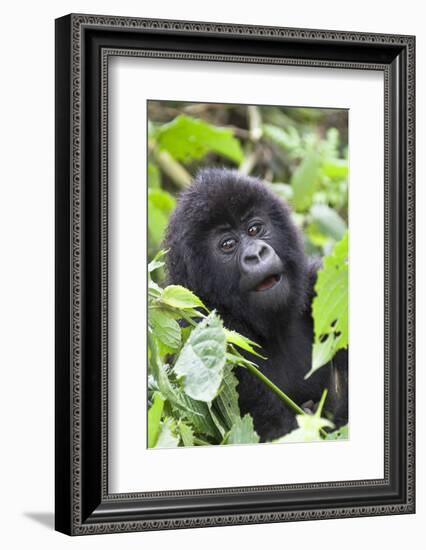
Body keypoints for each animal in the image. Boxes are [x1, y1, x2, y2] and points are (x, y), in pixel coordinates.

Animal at [165, 169, 348, 444]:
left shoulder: (320, 284)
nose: (257, 254)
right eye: (228, 245)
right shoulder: (206, 329)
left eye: (254, 229)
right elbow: (274, 429)